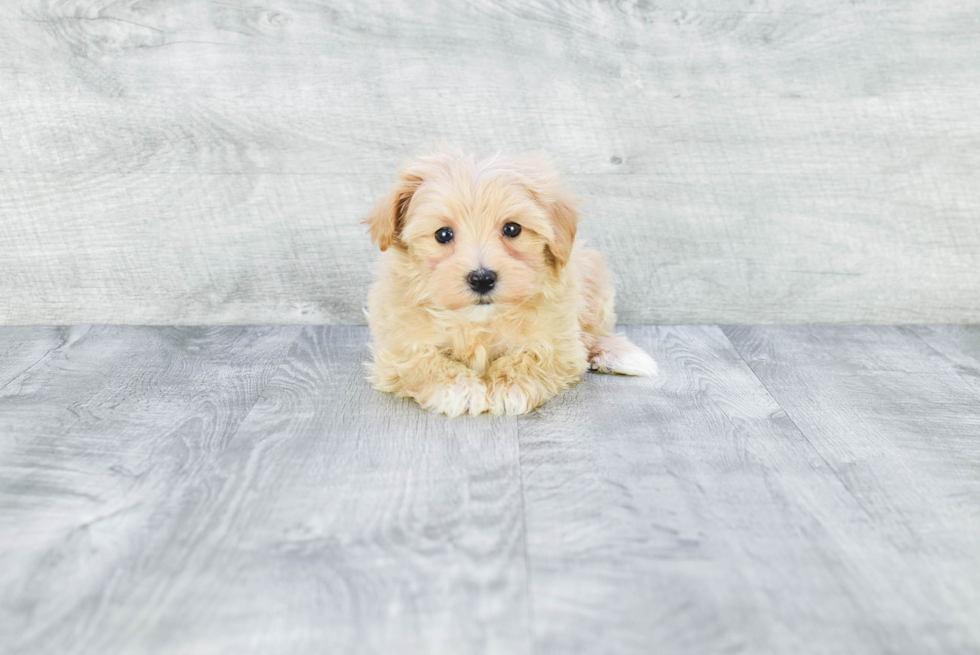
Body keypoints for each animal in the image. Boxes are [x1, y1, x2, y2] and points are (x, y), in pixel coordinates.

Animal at [366, 148, 660, 416]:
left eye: (512, 229)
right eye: (443, 234)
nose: (482, 279)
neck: (479, 320)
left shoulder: (561, 342)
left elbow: (535, 357)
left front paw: (511, 386)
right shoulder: (396, 346)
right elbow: (421, 362)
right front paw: (457, 388)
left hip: (593, 280)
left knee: (593, 333)